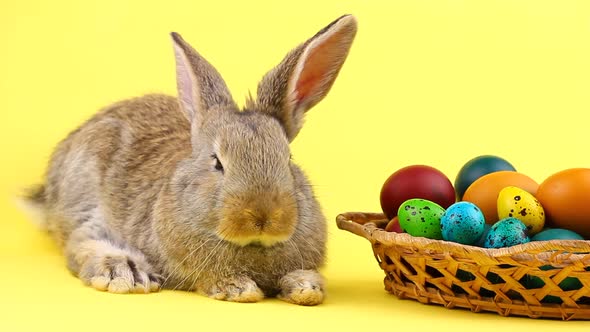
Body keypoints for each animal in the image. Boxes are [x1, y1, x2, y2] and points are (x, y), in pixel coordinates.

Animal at [19, 15, 356, 306]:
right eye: (217, 162)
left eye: (288, 159)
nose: (263, 216)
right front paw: (238, 288)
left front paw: (306, 288)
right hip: (83, 192)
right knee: (78, 242)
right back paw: (126, 272)